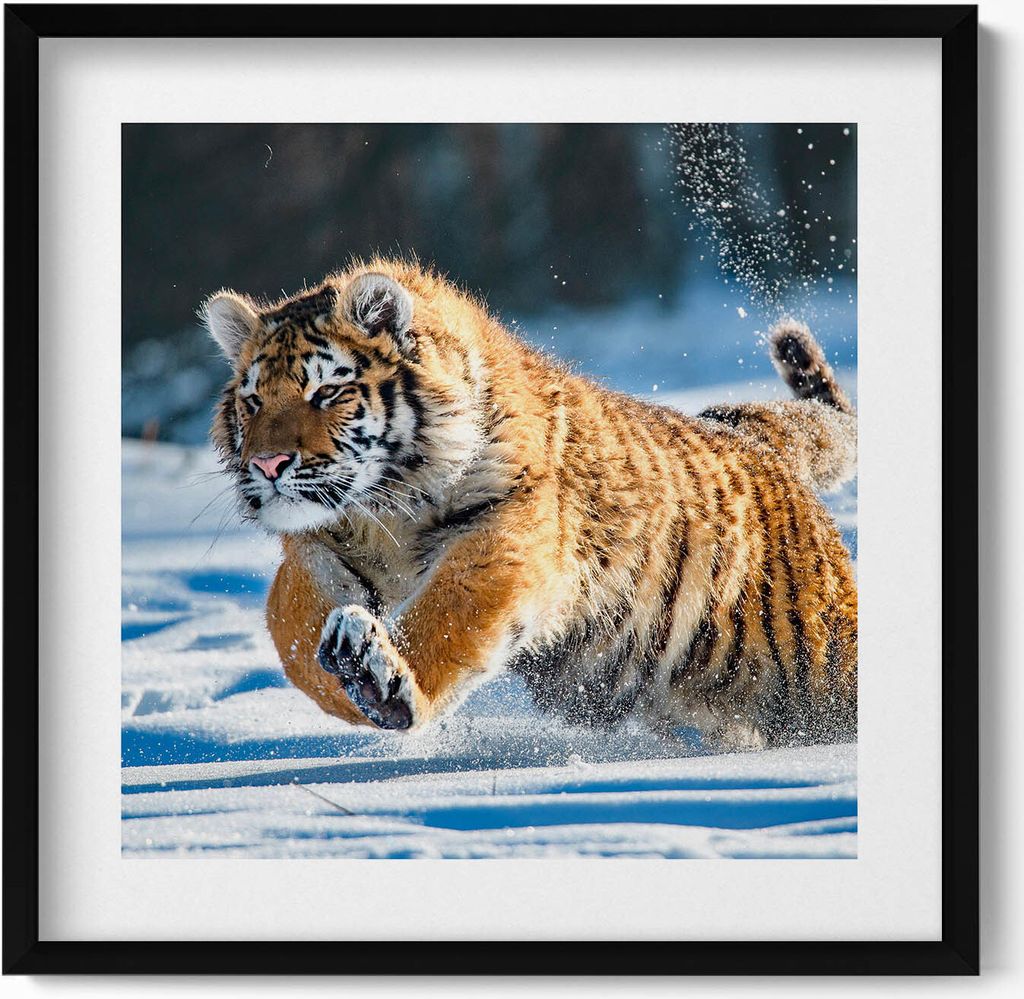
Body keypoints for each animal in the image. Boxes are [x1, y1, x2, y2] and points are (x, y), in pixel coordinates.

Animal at [203, 257, 857, 751]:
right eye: (253, 401)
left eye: (327, 392)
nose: (268, 465)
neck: (385, 511)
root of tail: (754, 437)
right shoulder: (316, 549)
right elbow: (292, 633)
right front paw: (344, 673)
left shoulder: (505, 536)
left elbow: (448, 616)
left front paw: (382, 680)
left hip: (820, 664)